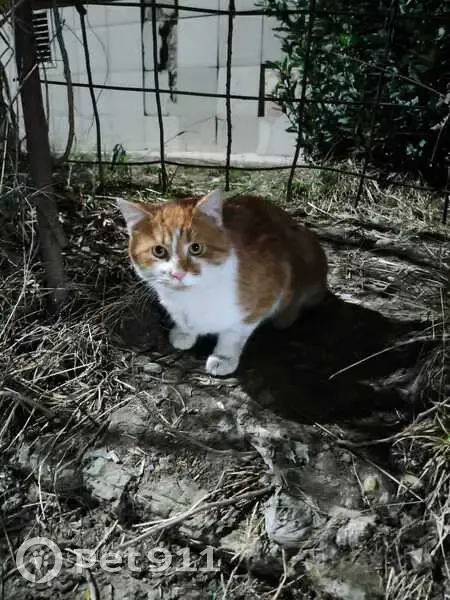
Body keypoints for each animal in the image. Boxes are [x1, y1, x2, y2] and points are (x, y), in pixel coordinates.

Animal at [117, 189, 328, 376]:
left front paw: (223, 357)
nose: (178, 274)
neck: (193, 296)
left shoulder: (264, 298)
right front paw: (184, 332)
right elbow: (183, 321)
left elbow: (233, 333)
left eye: (196, 248)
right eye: (159, 251)